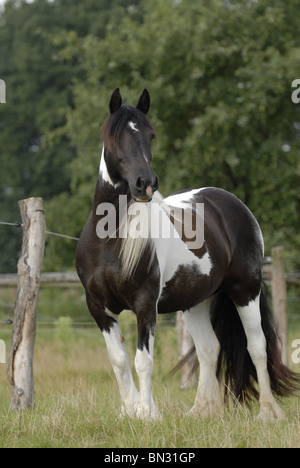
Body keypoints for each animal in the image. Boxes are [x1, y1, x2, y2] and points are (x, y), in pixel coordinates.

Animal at [76, 88, 298, 420]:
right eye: (116, 138)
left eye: (151, 135)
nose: (145, 184)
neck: (110, 241)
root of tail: (231, 203)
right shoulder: (99, 308)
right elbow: (119, 360)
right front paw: (129, 412)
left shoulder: (145, 304)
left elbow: (143, 360)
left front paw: (147, 415)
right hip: (195, 302)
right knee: (209, 349)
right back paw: (200, 411)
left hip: (245, 290)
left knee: (257, 346)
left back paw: (268, 412)